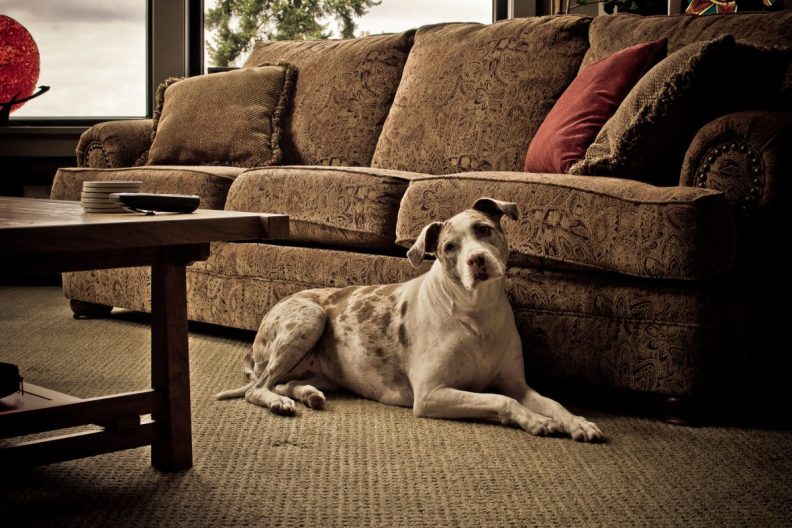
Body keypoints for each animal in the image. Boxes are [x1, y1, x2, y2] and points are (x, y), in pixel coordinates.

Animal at [217, 198, 600, 442]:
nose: (477, 260)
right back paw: (280, 402)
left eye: (484, 229)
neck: (477, 313)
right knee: (257, 389)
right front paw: (535, 421)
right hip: (311, 317)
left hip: (319, 367)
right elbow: (501, 401)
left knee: (282, 383)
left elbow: (552, 402)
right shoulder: (432, 394)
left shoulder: (516, 384)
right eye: (449, 248)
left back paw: (307, 394)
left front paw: (577, 422)